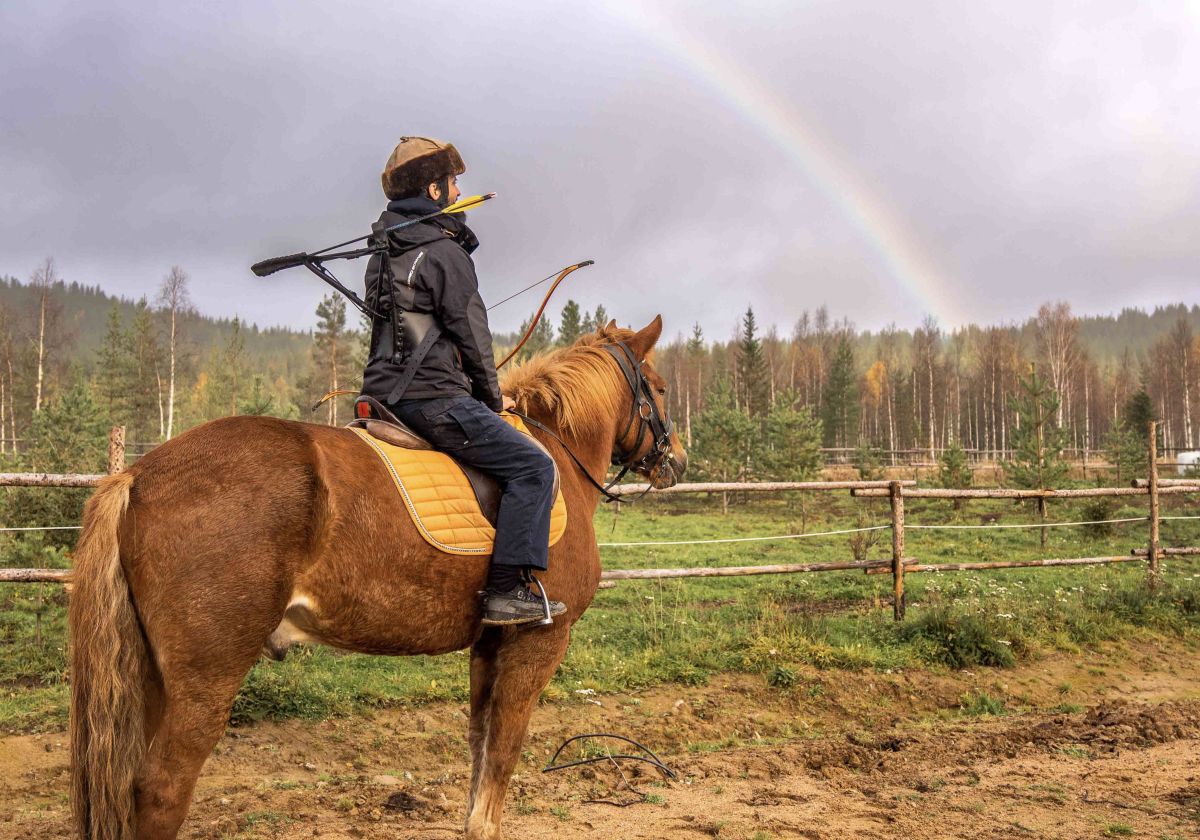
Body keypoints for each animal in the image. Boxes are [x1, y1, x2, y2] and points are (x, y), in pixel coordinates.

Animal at [67, 315, 686, 840]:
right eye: (657, 386)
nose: (677, 459)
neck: (555, 452)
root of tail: (137, 475)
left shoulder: (489, 643)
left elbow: (479, 747)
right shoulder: (539, 639)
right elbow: (504, 753)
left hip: (150, 673)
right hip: (206, 676)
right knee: (161, 790)